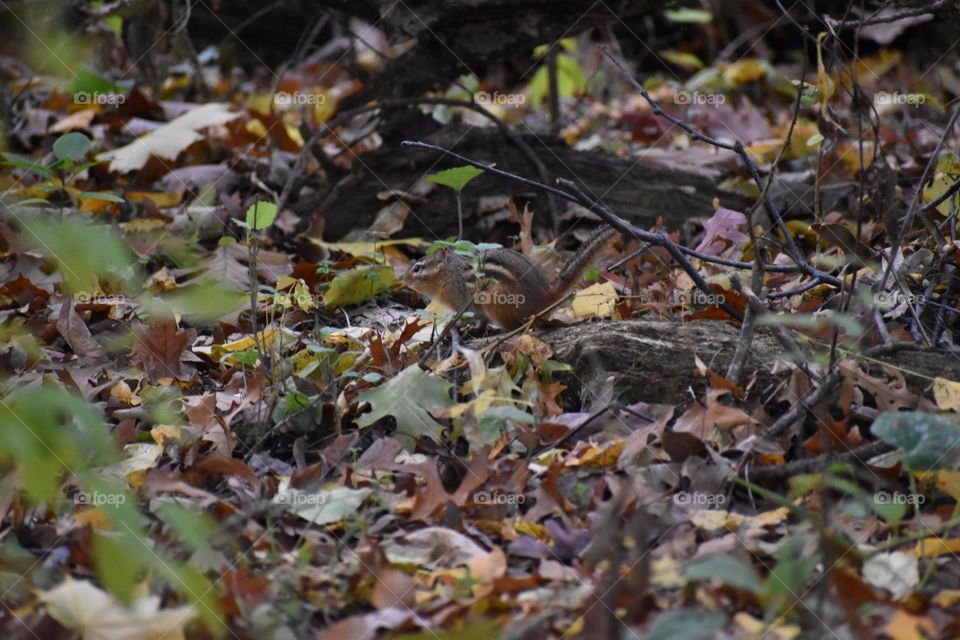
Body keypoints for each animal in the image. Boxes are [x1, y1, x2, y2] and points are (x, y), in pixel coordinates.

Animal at [404, 226, 616, 329]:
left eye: (417, 268)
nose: (404, 279)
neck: (449, 274)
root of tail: (545, 296)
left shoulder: (463, 303)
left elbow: (465, 316)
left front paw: (456, 325)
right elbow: (481, 321)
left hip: (495, 300)